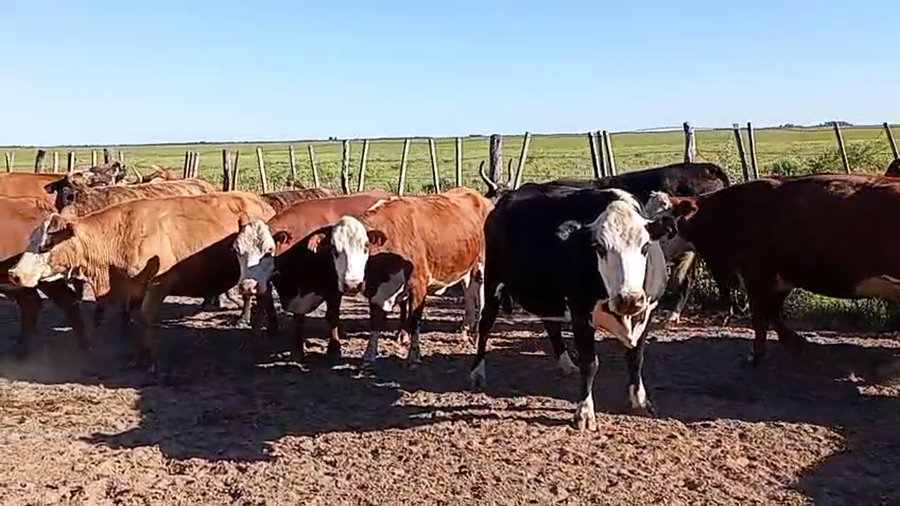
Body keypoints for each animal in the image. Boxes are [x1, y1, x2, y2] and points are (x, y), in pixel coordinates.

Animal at [231, 190, 393, 361]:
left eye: (269, 250)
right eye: (236, 250)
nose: (248, 286)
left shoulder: (334, 287)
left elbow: (332, 316)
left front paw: (334, 349)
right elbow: (298, 317)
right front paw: (297, 352)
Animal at [306, 187, 493, 366]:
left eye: (366, 246)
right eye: (333, 249)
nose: (352, 284)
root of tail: (477, 195)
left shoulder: (419, 285)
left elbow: (415, 320)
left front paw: (414, 355)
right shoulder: (375, 289)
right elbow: (376, 321)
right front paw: (369, 354)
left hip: (482, 264)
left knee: (481, 293)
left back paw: (477, 333)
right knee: (468, 289)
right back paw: (466, 329)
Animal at [469, 183, 686, 431]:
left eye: (646, 246)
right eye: (599, 247)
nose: (628, 299)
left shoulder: (647, 311)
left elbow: (636, 358)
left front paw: (640, 401)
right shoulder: (581, 313)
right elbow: (590, 363)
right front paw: (584, 413)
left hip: (547, 294)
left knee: (551, 325)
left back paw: (566, 363)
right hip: (492, 282)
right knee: (485, 325)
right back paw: (477, 372)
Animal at [661, 173, 900, 366]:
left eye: (662, 221)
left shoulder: (756, 273)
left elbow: (760, 316)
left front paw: (755, 356)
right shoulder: (781, 276)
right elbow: (773, 312)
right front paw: (796, 342)